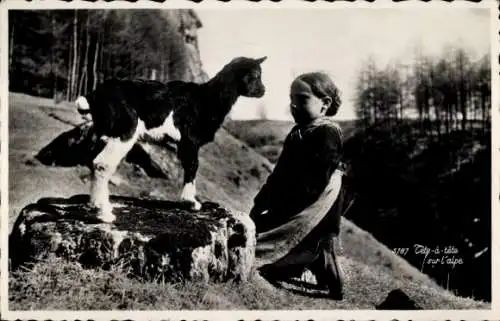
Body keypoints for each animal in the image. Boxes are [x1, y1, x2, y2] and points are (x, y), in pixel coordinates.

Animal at [76, 56, 268, 221]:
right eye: (255, 75)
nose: (263, 91)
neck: (206, 99)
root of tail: (94, 95)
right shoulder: (190, 139)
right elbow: (192, 165)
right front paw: (191, 202)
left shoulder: (184, 143)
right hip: (124, 130)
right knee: (102, 164)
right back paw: (103, 214)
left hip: (106, 133)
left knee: (94, 162)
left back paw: (97, 205)